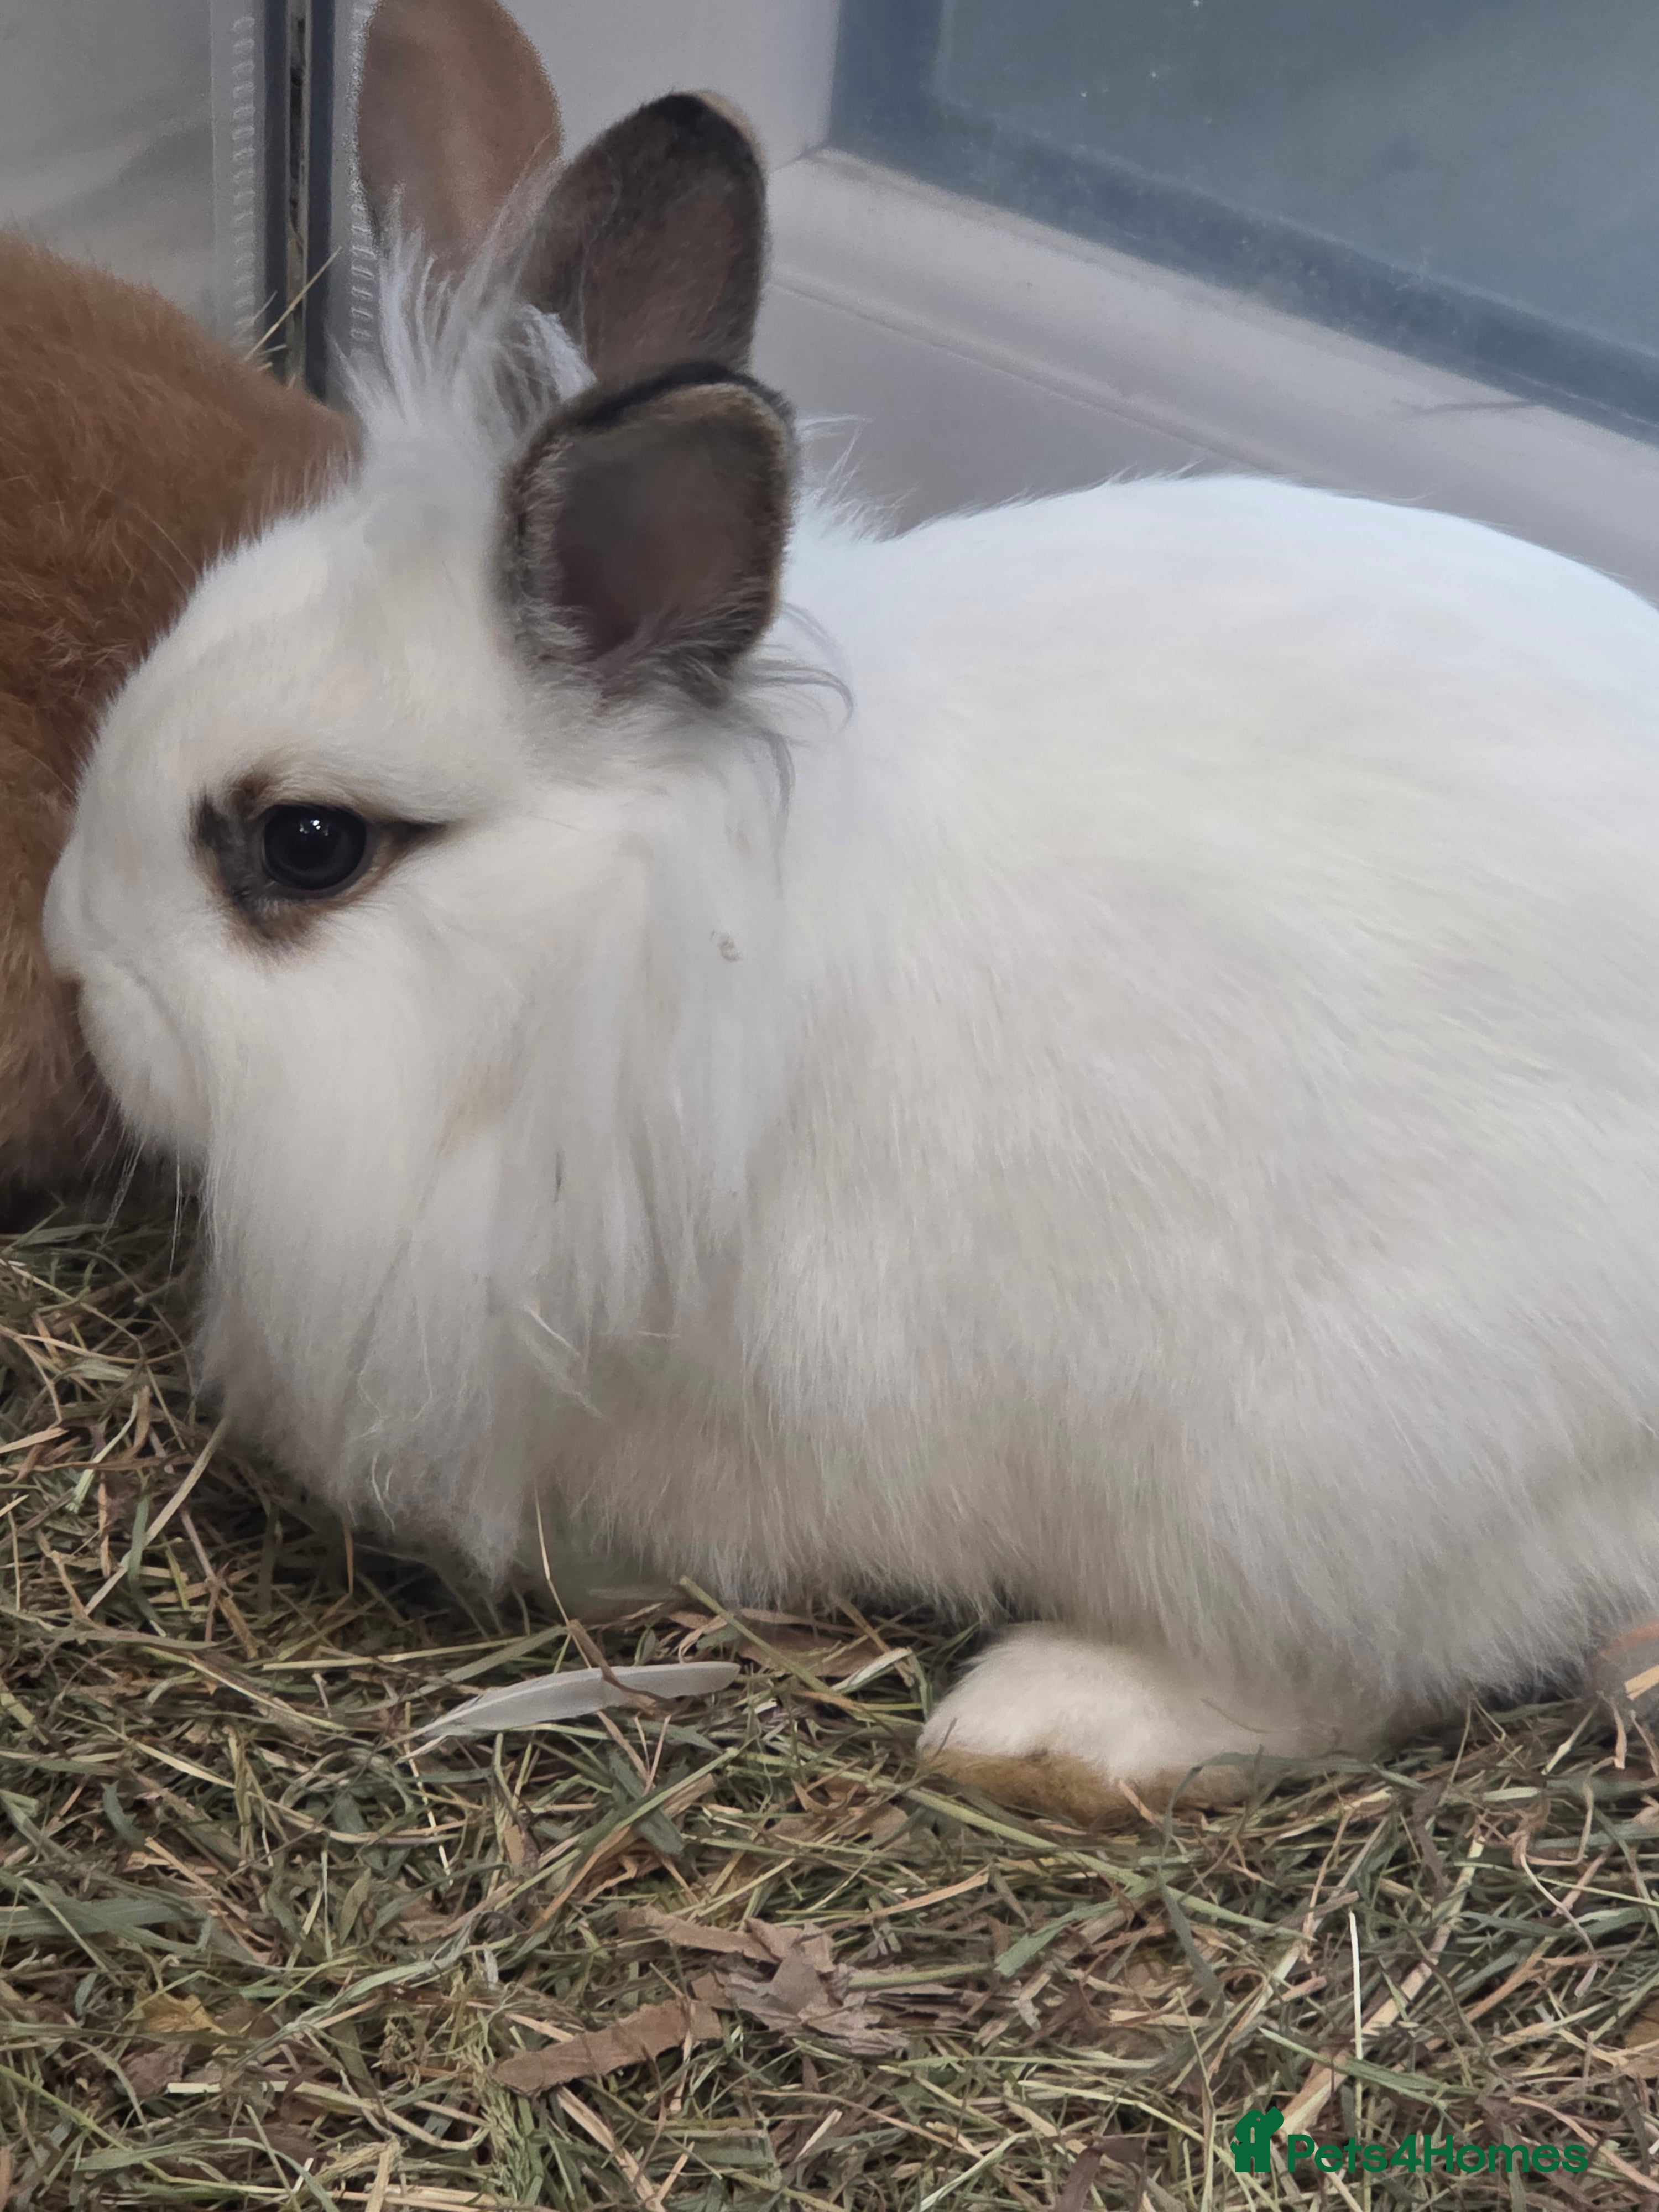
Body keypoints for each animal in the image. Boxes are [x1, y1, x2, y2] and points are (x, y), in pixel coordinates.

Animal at [44, 0, 1659, 1824]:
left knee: (1346, 1670)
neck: (631, 959)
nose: (75, 966)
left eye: (308, 845)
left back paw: (1042, 1728)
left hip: (1313, 1462)